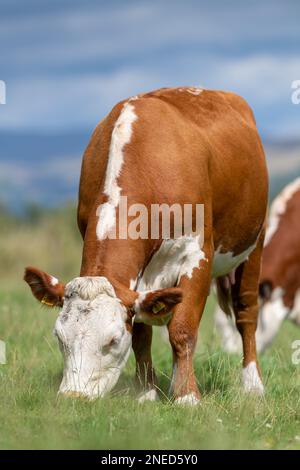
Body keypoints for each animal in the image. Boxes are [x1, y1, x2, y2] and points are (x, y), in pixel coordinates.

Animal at [23, 87, 268, 404]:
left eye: (113, 340)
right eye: (59, 337)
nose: (73, 396)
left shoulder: (197, 255)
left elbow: (183, 329)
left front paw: (187, 397)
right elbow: (141, 336)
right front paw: (146, 392)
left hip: (254, 243)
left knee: (246, 314)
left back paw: (252, 385)